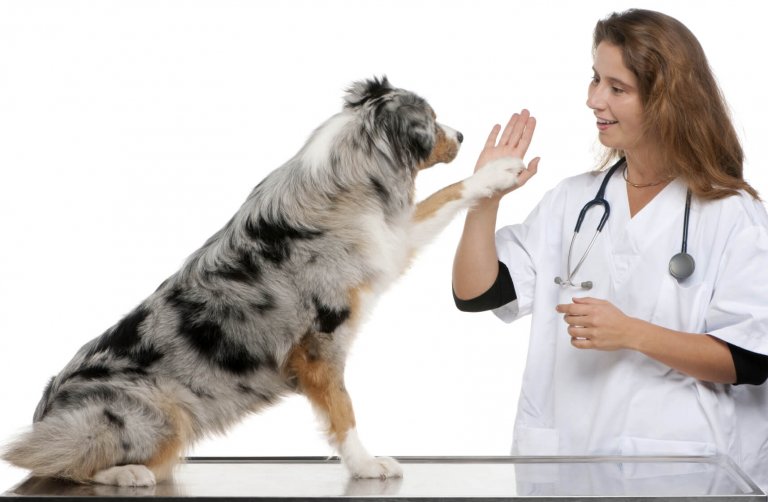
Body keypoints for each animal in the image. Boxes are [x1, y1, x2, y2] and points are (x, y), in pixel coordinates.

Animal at [0, 77, 524, 486]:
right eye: (432, 120)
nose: (462, 134)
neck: (351, 171)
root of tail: (44, 410)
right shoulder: (320, 343)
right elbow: (344, 410)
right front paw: (366, 465)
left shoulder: (389, 241)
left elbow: (445, 197)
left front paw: (495, 172)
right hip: (159, 411)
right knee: (54, 462)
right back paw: (128, 472)